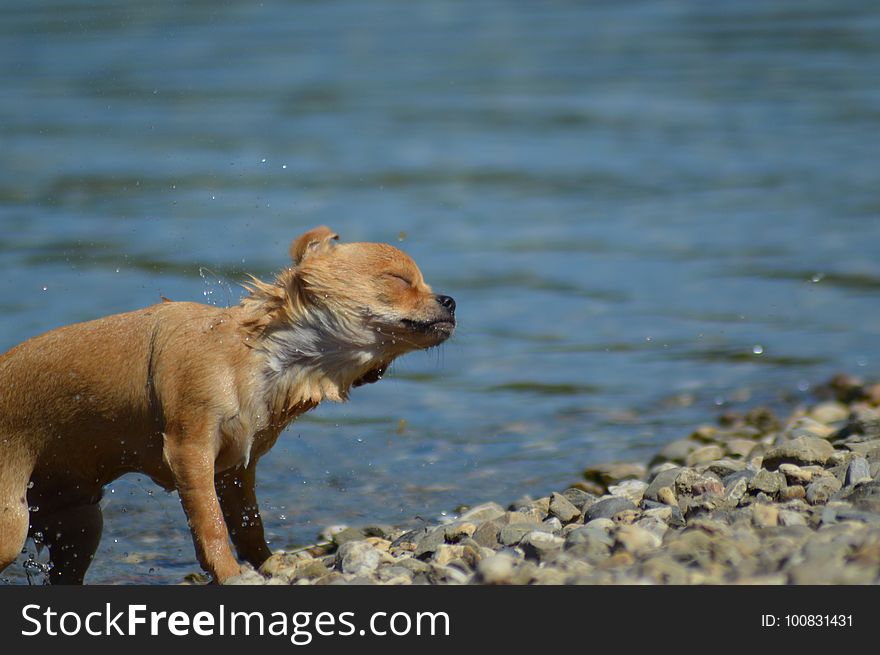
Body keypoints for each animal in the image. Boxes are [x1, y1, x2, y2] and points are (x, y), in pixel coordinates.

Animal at [0, 228, 454, 588]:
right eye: (399, 279)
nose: (450, 300)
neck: (264, 358)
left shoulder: (236, 469)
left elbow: (247, 525)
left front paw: (269, 564)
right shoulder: (190, 452)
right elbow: (211, 525)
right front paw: (229, 571)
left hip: (80, 525)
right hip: (12, 522)